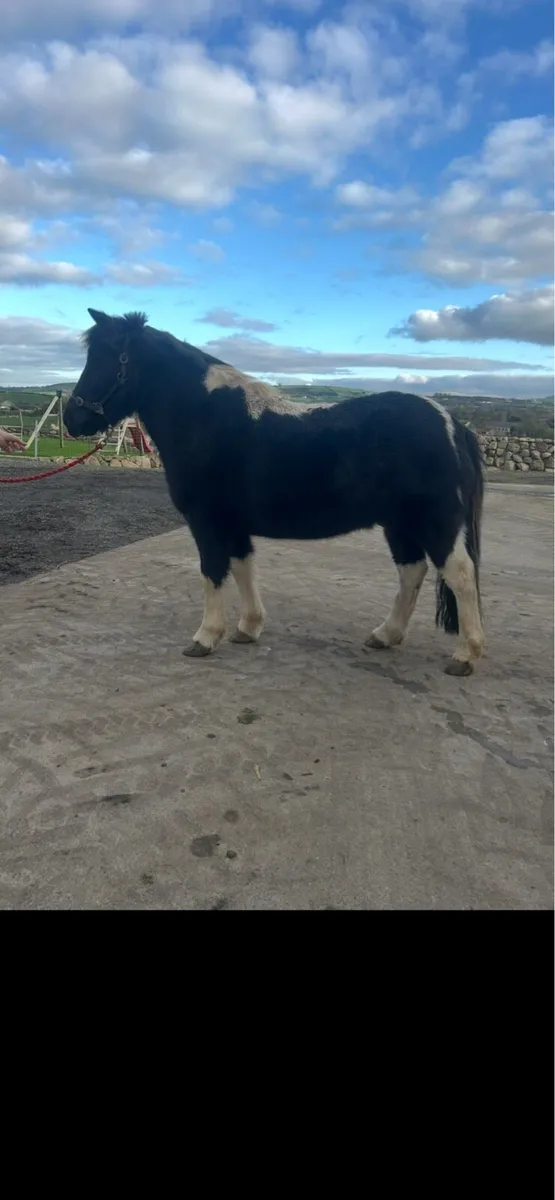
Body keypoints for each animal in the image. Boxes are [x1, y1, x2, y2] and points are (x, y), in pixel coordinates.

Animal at [64, 309, 485, 676]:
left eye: (108, 357)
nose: (72, 418)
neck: (204, 416)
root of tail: (452, 425)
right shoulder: (233, 524)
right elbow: (242, 567)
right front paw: (248, 628)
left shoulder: (206, 521)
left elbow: (212, 571)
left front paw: (205, 637)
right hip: (399, 524)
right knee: (412, 572)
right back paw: (385, 635)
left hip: (435, 523)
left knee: (460, 574)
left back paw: (465, 655)